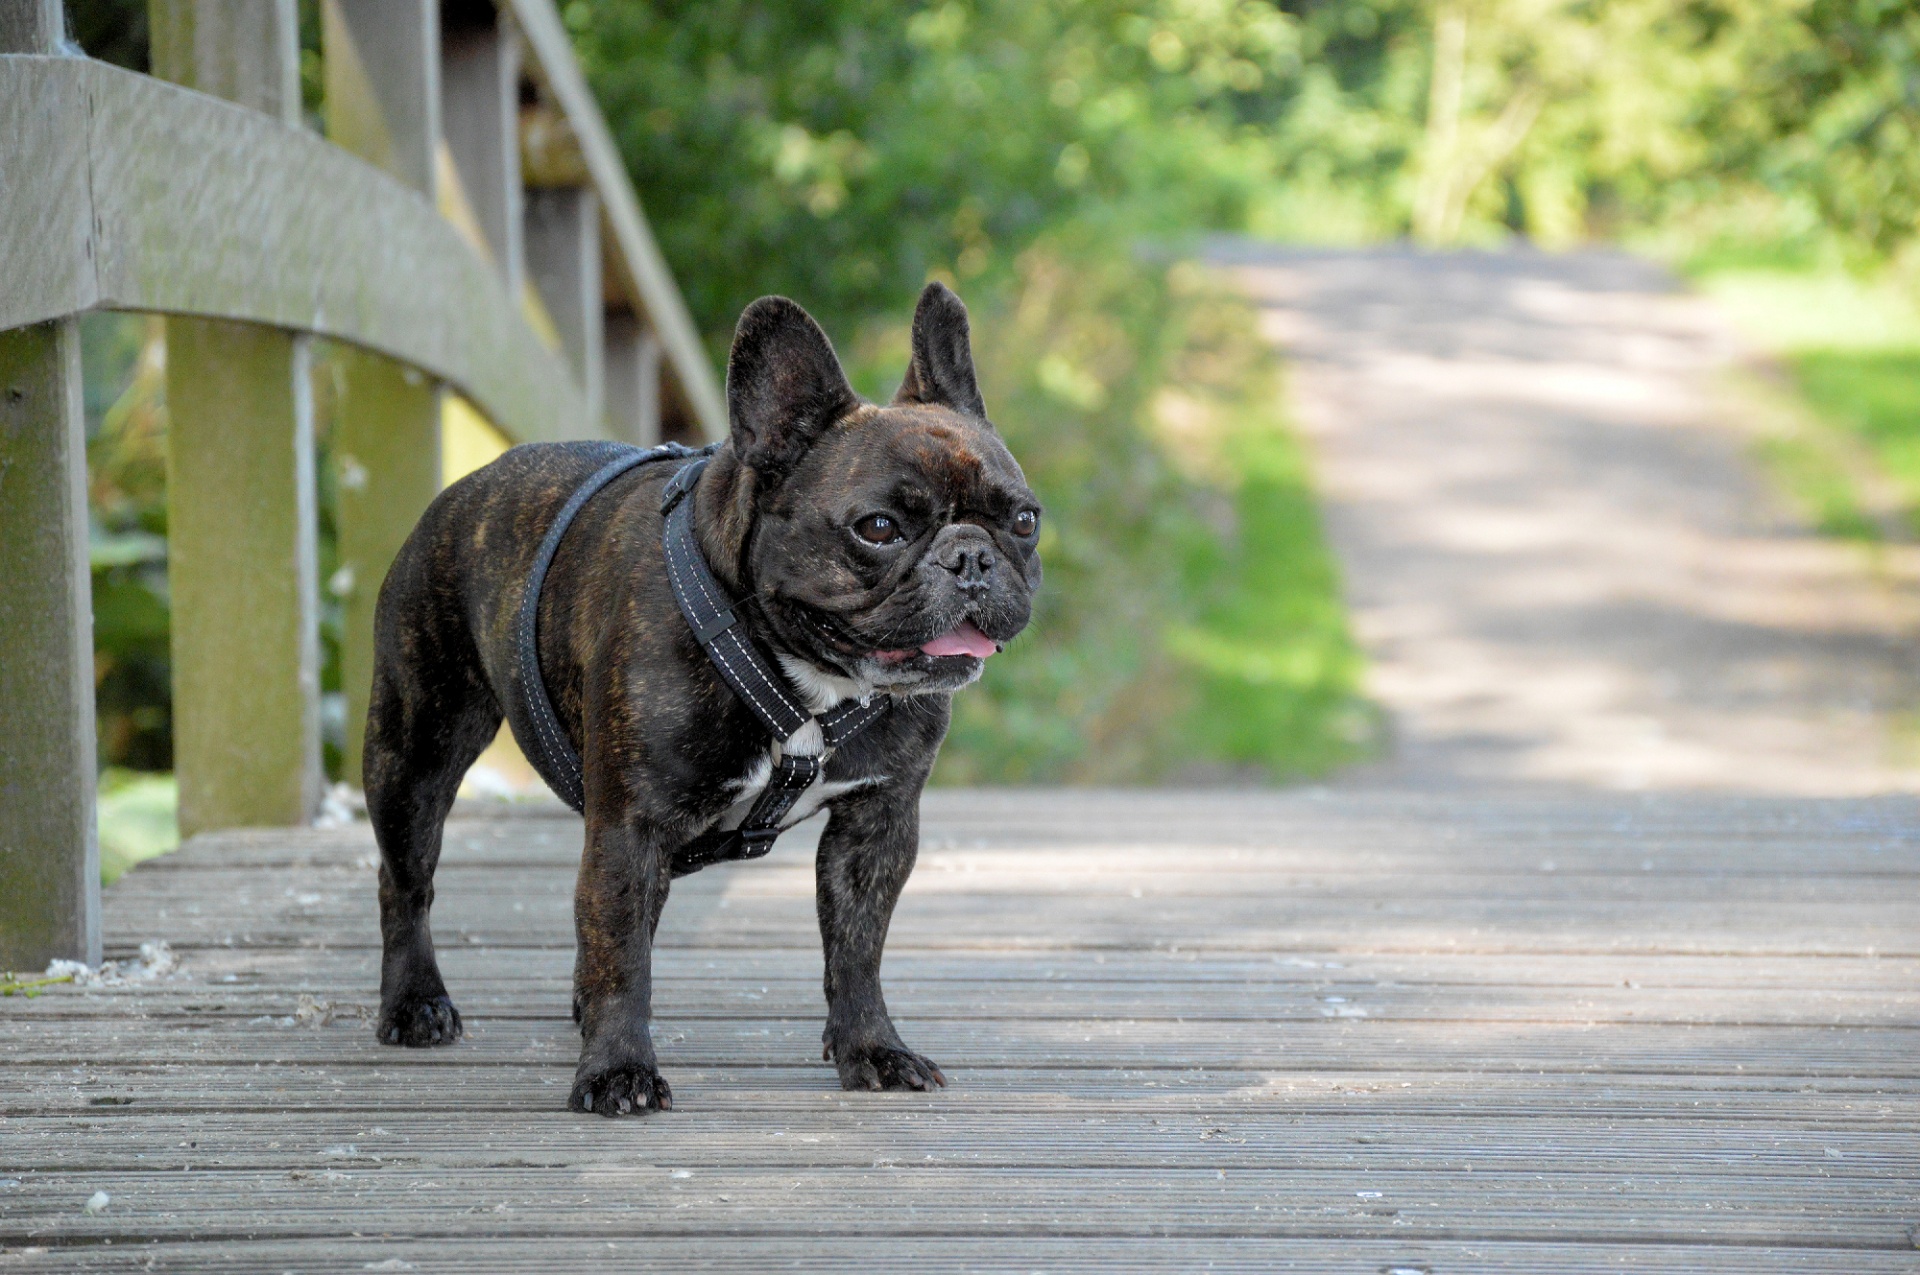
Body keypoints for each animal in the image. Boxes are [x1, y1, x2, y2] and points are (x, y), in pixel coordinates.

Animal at [366, 282, 1044, 1113]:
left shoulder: (877, 825)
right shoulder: (630, 826)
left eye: (1024, 519)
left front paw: (873, 1047)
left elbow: (857, 949)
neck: (811, 675)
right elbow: (622, 951)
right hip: (418, 748)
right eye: (879, 528)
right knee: (406, 879)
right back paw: (415, 1003)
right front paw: (617, 1070)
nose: (972, 555)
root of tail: (464, 489)